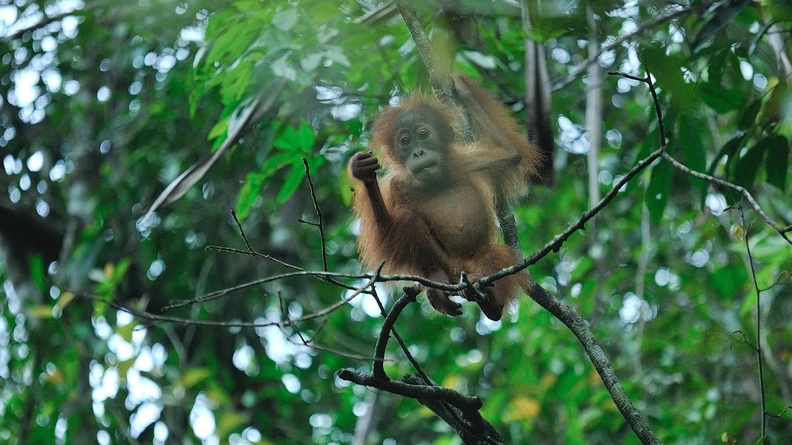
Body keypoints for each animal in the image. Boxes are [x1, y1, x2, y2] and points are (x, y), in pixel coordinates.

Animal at [349, 74, 541, 321]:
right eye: (405, 141)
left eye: (423, 135)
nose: (418, 153)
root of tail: (458, 272)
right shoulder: (396, 186)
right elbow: (387, 237)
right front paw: (363, 173)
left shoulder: (470, 160)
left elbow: (511, 154)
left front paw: (462, 87)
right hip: (446, 264)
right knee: (407, 219)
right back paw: (436, 277)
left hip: (471, 264)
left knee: (490, 256)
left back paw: (490, 303)